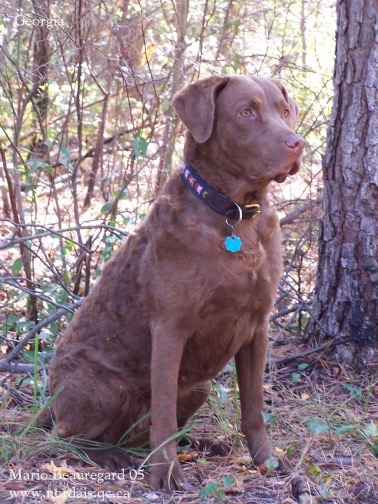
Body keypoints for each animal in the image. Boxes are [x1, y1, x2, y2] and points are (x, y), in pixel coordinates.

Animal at [49, 76, 304, 492]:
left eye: (284, 111)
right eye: (245, 112)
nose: (296, 143)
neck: (235, 216)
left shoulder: (258, 326)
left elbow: (253, 408)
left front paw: (266, 460)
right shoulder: (170, 328)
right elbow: (164, 413)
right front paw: (167, 473)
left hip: (199, 386)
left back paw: (203, 443)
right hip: (102, 388)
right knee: (69, 436)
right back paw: (113, 456)